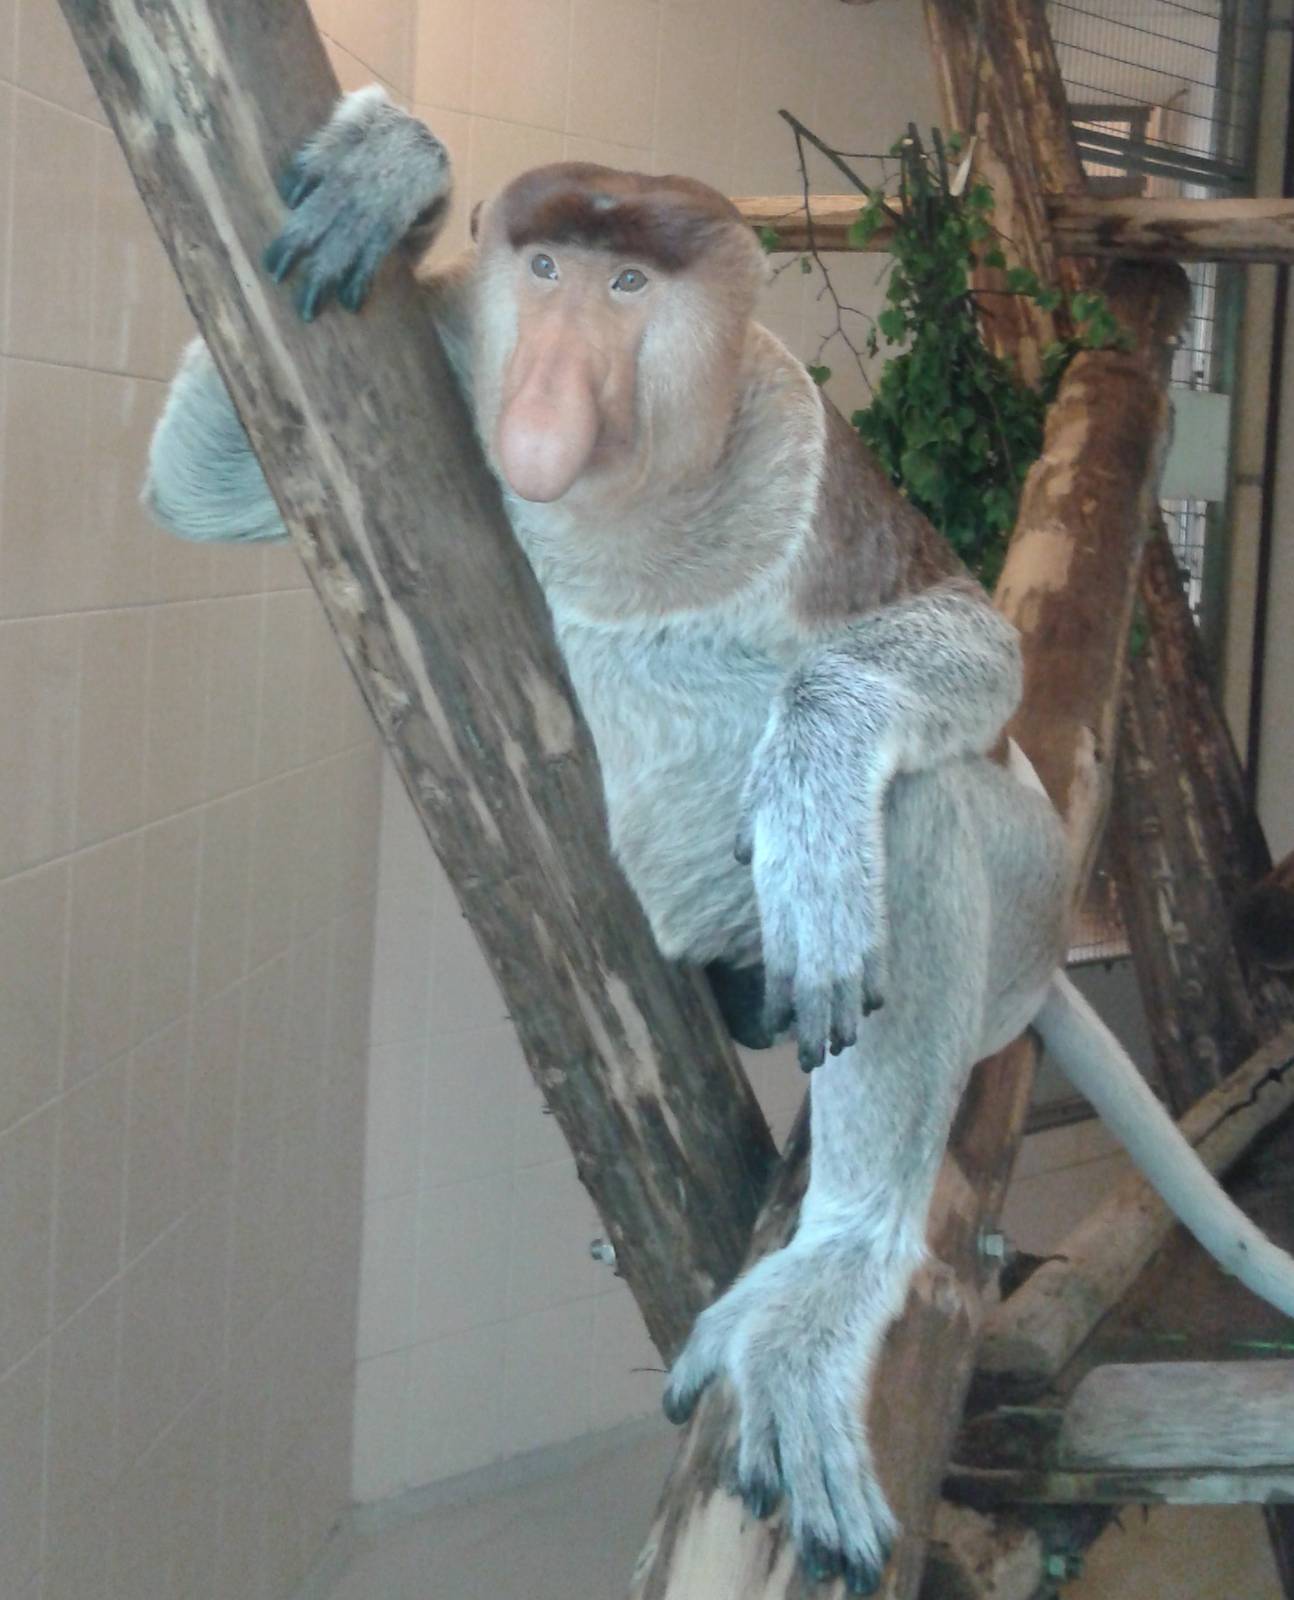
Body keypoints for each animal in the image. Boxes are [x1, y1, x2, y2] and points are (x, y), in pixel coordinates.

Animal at [143, 86, 1294, 1594]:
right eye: (547, 271)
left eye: (630, 288)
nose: (546, 396)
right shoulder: (452, 347)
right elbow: (198, 494)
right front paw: (388, 171)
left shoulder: (801, 460)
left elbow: (967, 648)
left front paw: (813, 780)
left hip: (1034, 892)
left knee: (926, 807)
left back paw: (826, 1268)